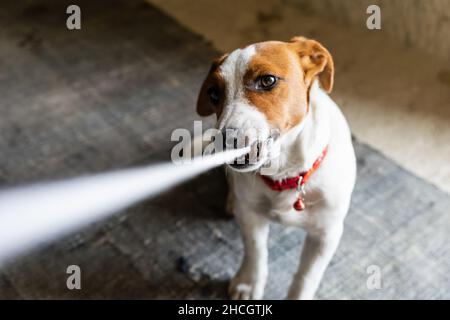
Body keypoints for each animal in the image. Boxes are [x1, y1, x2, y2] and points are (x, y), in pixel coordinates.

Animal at [195, 37, 356, 300]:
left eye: (267, 80)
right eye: (214, 93)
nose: (224, 141)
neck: (285, 174)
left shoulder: (326, 234)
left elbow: (306, 277)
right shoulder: (251, 217)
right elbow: (256, 252)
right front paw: (249, 283)